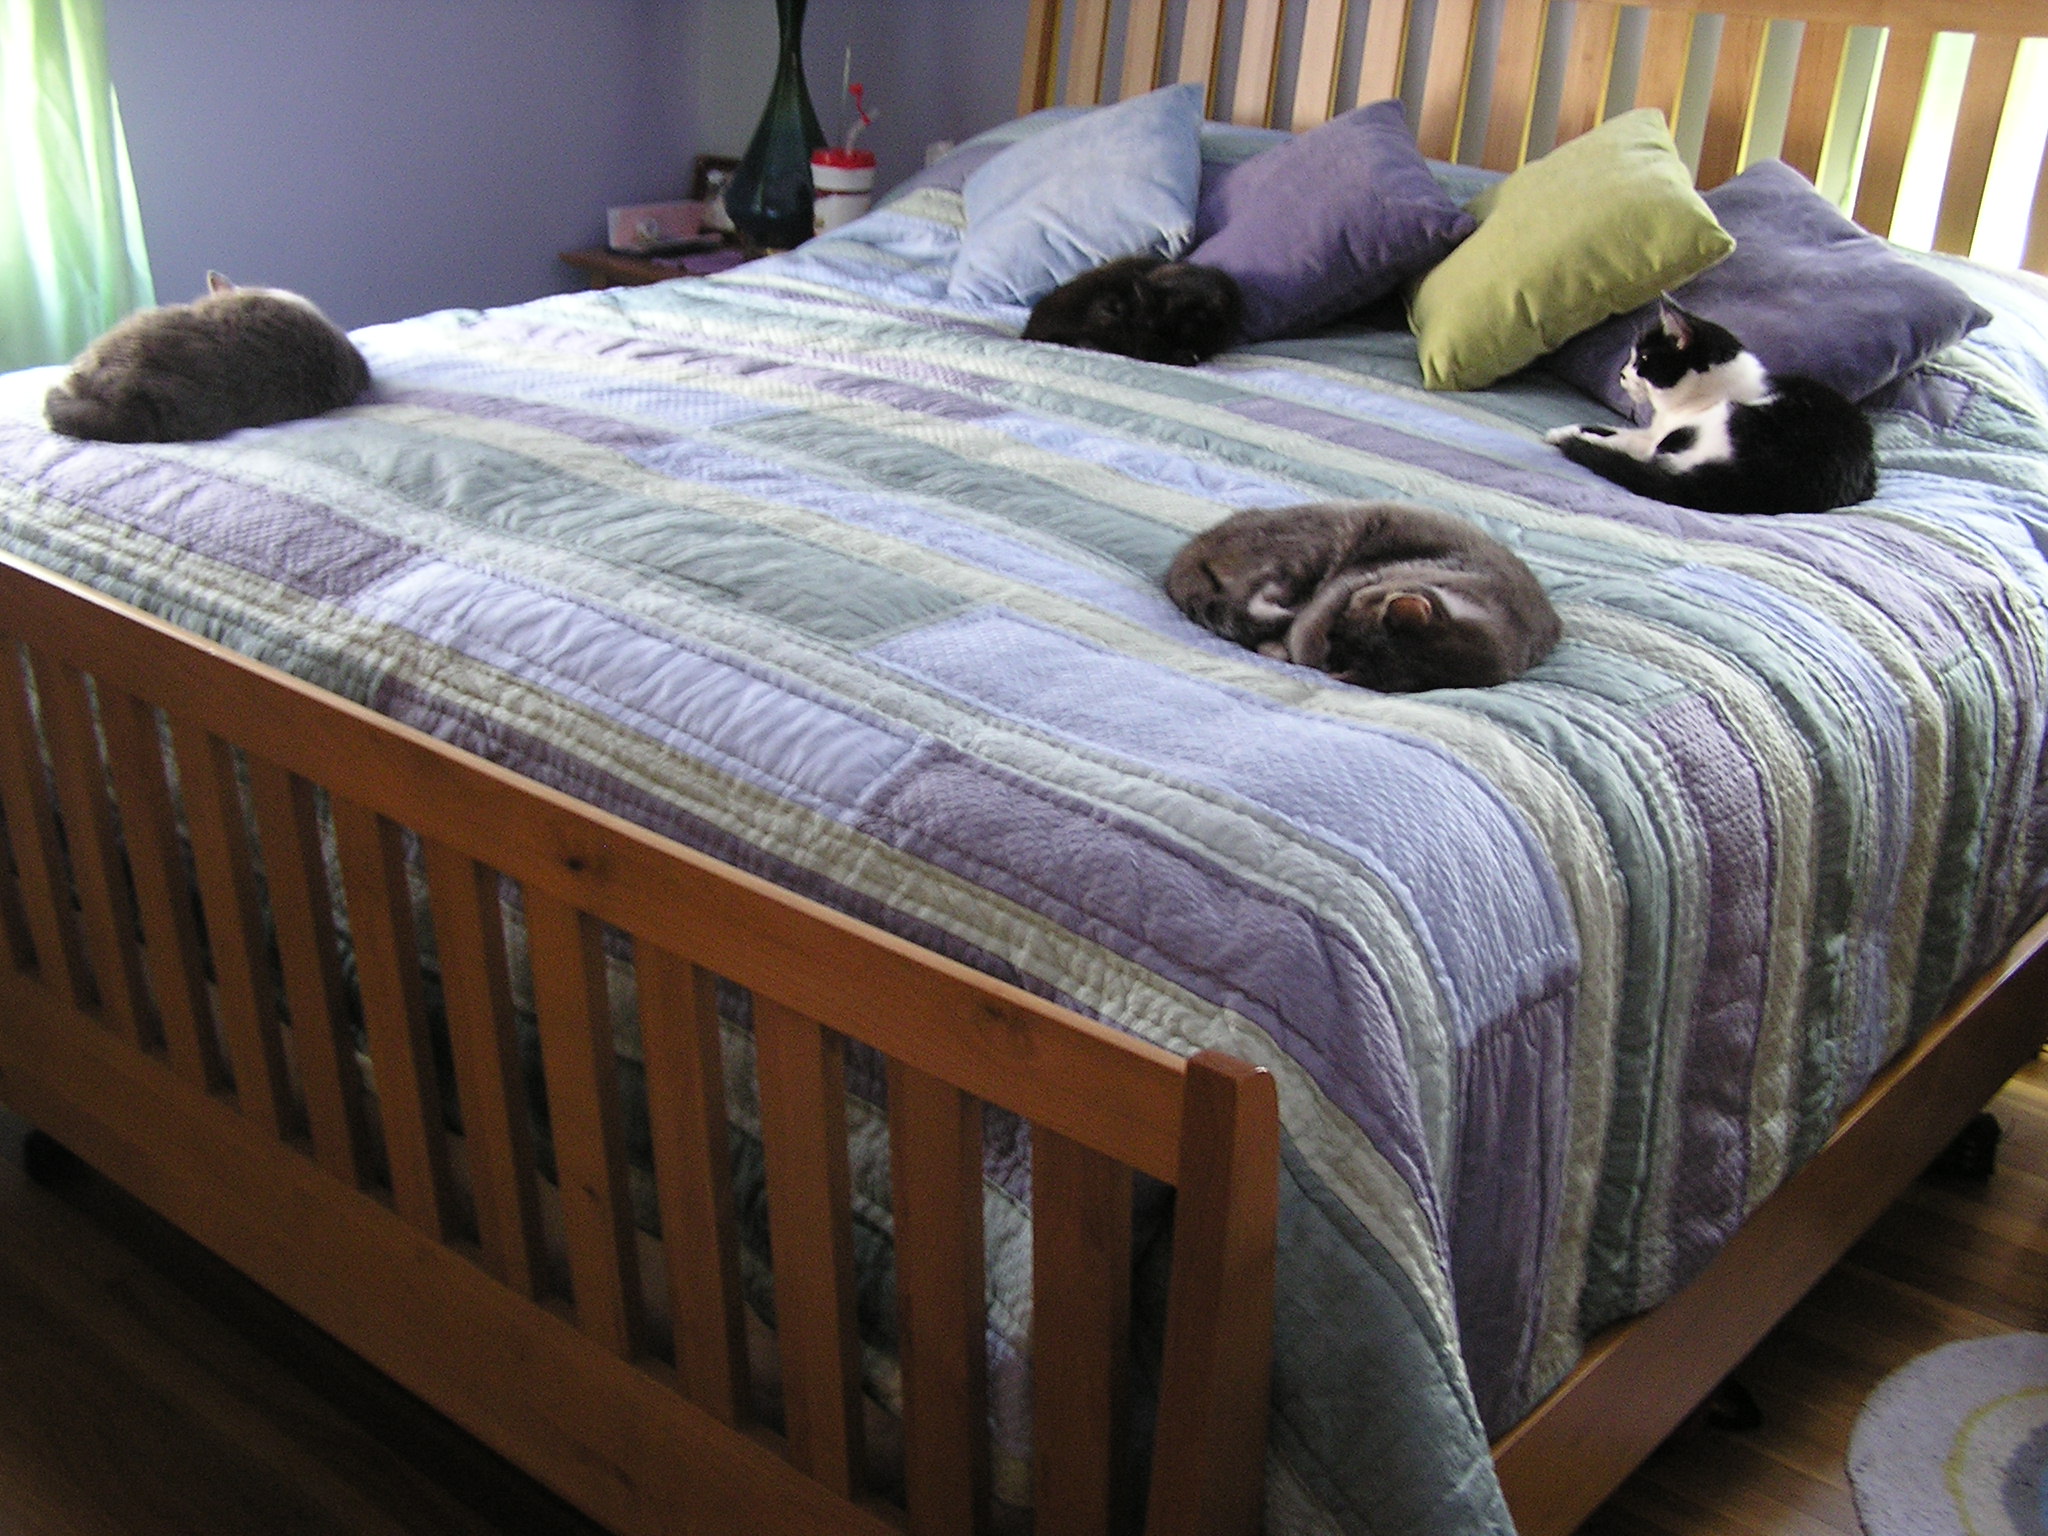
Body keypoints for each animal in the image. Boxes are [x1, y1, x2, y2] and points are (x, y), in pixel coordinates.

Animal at [1548, 299, 1875, 518]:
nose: (1622, 373)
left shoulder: (1664, 436)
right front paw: (1563, 430)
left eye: (1642, 359)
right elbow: (1611, 429)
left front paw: (1572, 437)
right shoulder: (1656, 430)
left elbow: (1623, 441)